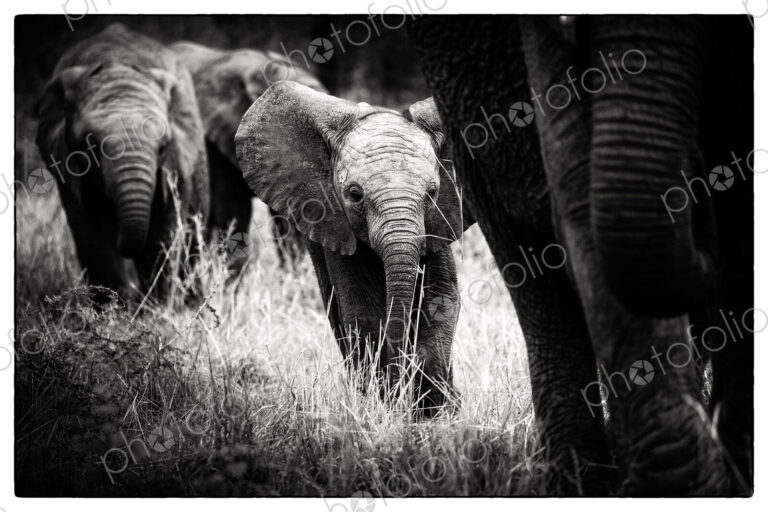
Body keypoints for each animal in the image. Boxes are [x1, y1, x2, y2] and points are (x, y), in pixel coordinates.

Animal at [35, 23, 209, 300]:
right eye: (90, 145)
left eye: (163, 147)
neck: (118, 64)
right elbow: (92, 237)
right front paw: (112, 309)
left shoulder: (174, 164)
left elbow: (163, 233)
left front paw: (157, 307)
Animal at [235, 81, 472, 415]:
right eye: (354, 194)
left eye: (432, 193)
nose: (399, 396)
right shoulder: (335, 226)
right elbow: (363, 314)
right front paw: (385, 408)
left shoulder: (438, 224)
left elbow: (441, 301)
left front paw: (434, 415)